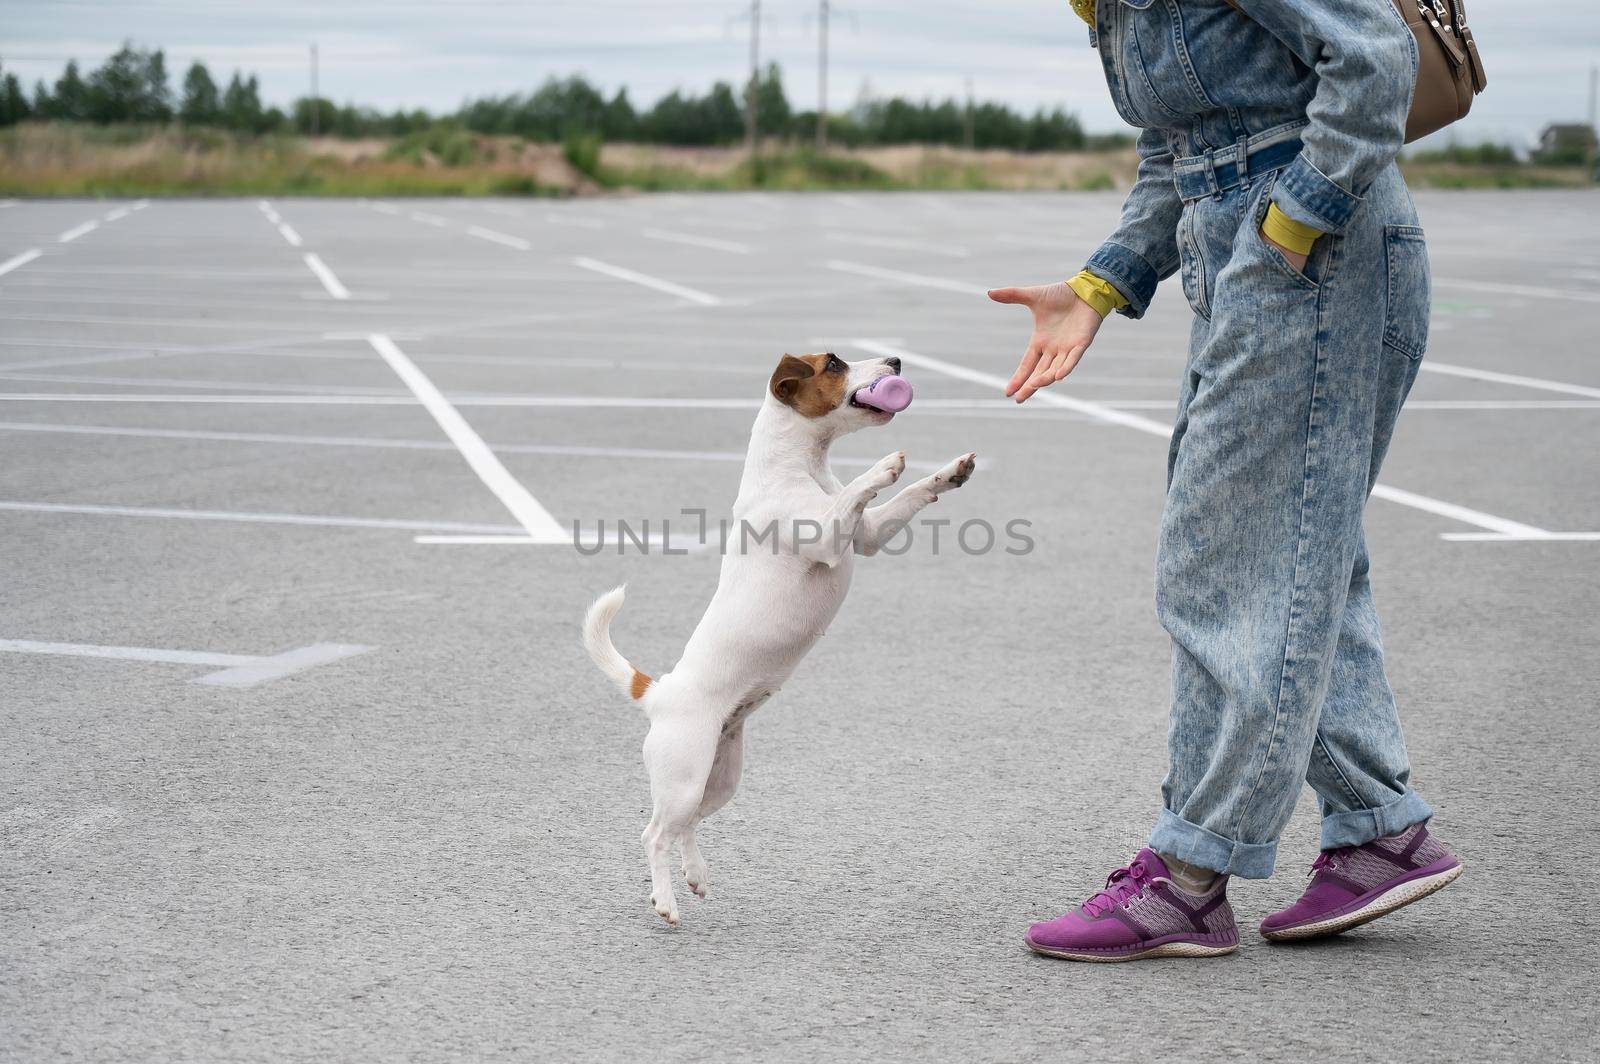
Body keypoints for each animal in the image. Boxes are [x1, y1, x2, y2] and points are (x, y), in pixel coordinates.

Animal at [585, 350, 972, 921]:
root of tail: (657, 693)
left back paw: (695, 876)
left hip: (719, 780)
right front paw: (883, 465)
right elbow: (862, 488)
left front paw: (949, 472)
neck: (801, 467)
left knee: (687, 827)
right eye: (834, 363)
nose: (896, 359)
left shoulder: (867, 535)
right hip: (682, 776)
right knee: (654, 834)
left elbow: (907, 495)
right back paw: (666, 900)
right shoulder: (831, 535)